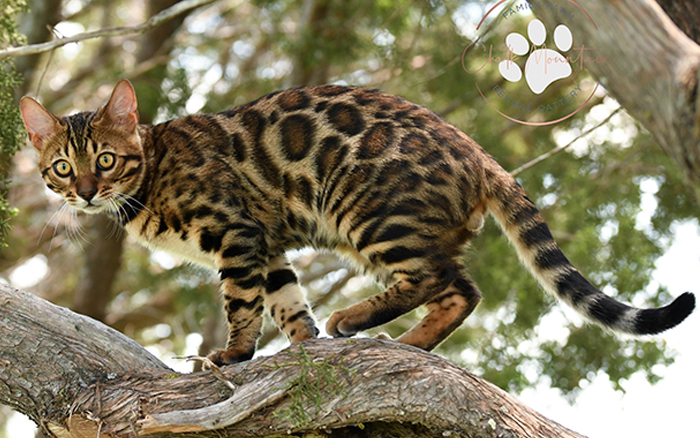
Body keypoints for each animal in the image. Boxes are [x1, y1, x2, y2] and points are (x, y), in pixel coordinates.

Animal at [19, 80, 692, 364]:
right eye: (62, 168)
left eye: (106, 160)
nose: (85, 193)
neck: (149, 174)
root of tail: (479, 155)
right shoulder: (267, 246)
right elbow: (286, 302)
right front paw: (303, 345)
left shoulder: (237, 234)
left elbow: (242, 305)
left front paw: (232, 355)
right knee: (462, 288)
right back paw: (408, 343)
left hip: (369, 215)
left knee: (439, 279)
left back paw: (358, 319)